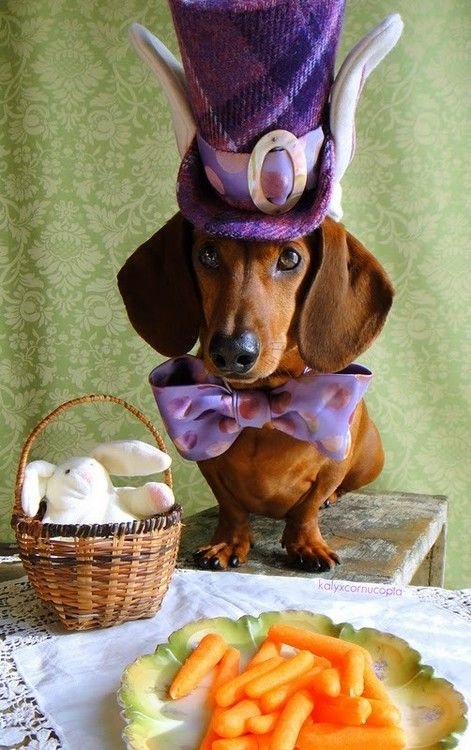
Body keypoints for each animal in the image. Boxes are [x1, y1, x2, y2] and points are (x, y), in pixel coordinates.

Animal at [119, 214, 394, 572]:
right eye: (208, 254)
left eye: (290, 258)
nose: (232, 351)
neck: (260, 401)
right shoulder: (210, 465)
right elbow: (231, 508)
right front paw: (227, 543)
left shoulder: (332, 465)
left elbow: (308, 507)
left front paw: (306, 543)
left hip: (368, 463)